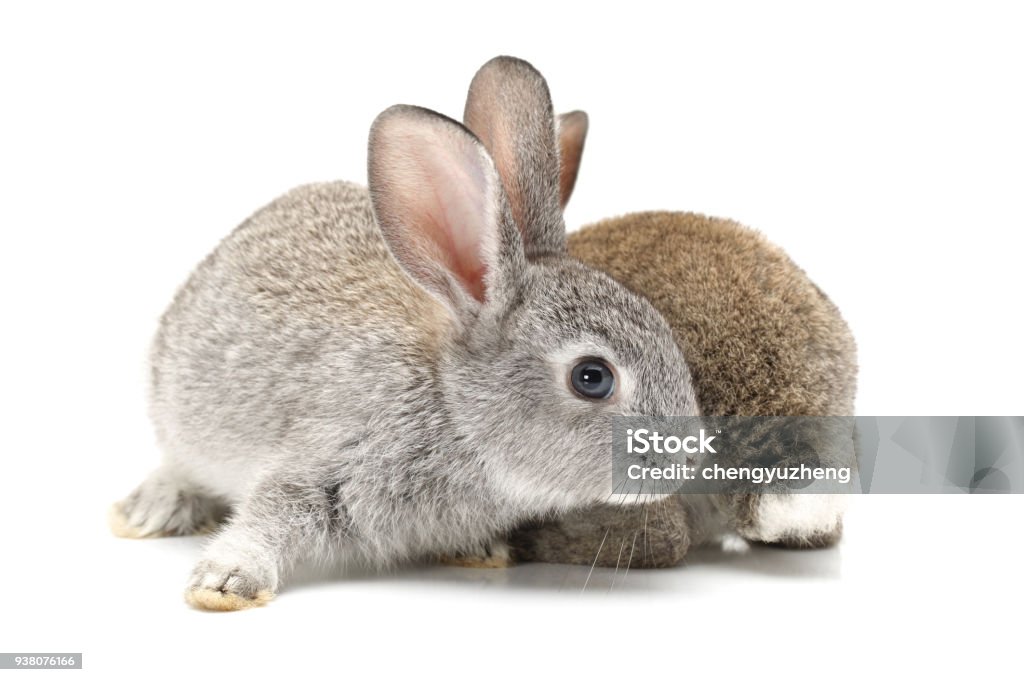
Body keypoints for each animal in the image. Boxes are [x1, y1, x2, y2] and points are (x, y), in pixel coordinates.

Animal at [108, 56, 701, 610]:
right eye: (592, 377)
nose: (690, 458)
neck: (455, 411)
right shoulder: (326, 457)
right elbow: (271, 513)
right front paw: (226, 583)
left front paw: (481, 552)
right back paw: (149, 509)